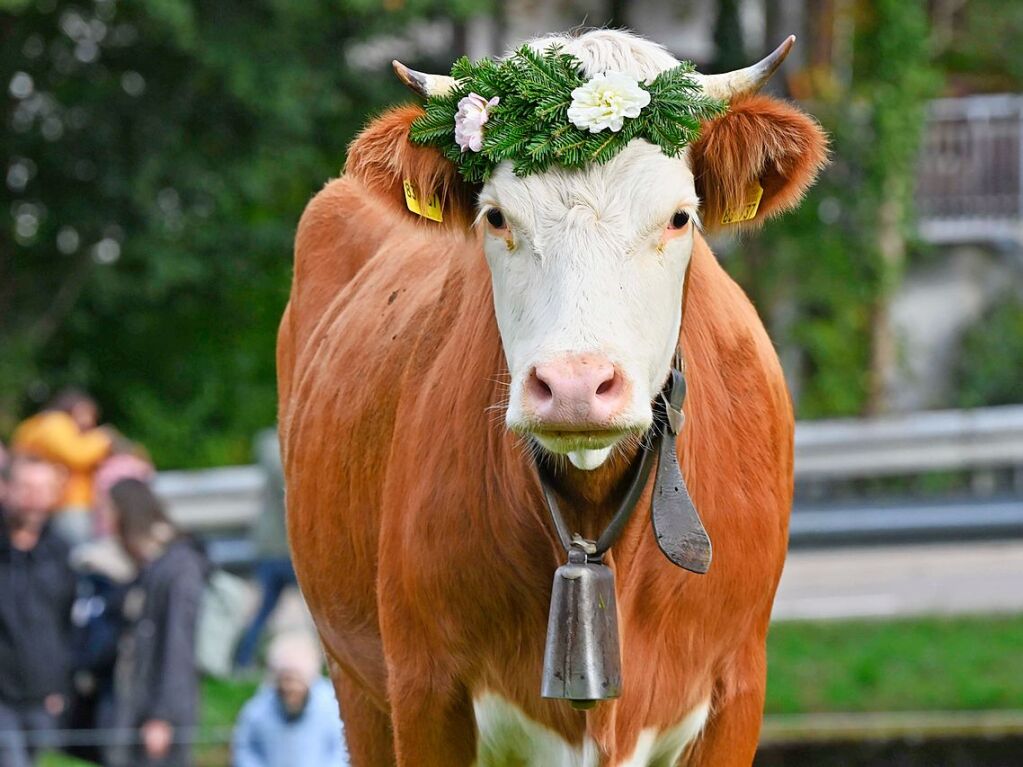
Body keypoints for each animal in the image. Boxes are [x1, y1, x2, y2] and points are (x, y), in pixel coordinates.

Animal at [280, 28, 830, 767]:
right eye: (495, 217)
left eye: (678, 216)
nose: (574, 385)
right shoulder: (424, 688)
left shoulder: (735, 690)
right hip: (356, 686)